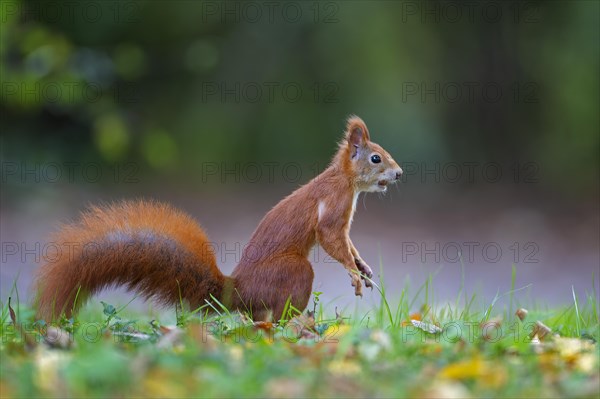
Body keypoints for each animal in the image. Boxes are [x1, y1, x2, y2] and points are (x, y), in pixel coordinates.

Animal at [36, 115, 404, 322]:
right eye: (375, 158)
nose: (399, 173)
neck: (345, 181)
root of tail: (237, 291)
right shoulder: (333, 211)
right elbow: (332, 240)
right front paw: (353, 274)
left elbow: (348, 244)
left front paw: (363, 267)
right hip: (293, 271)